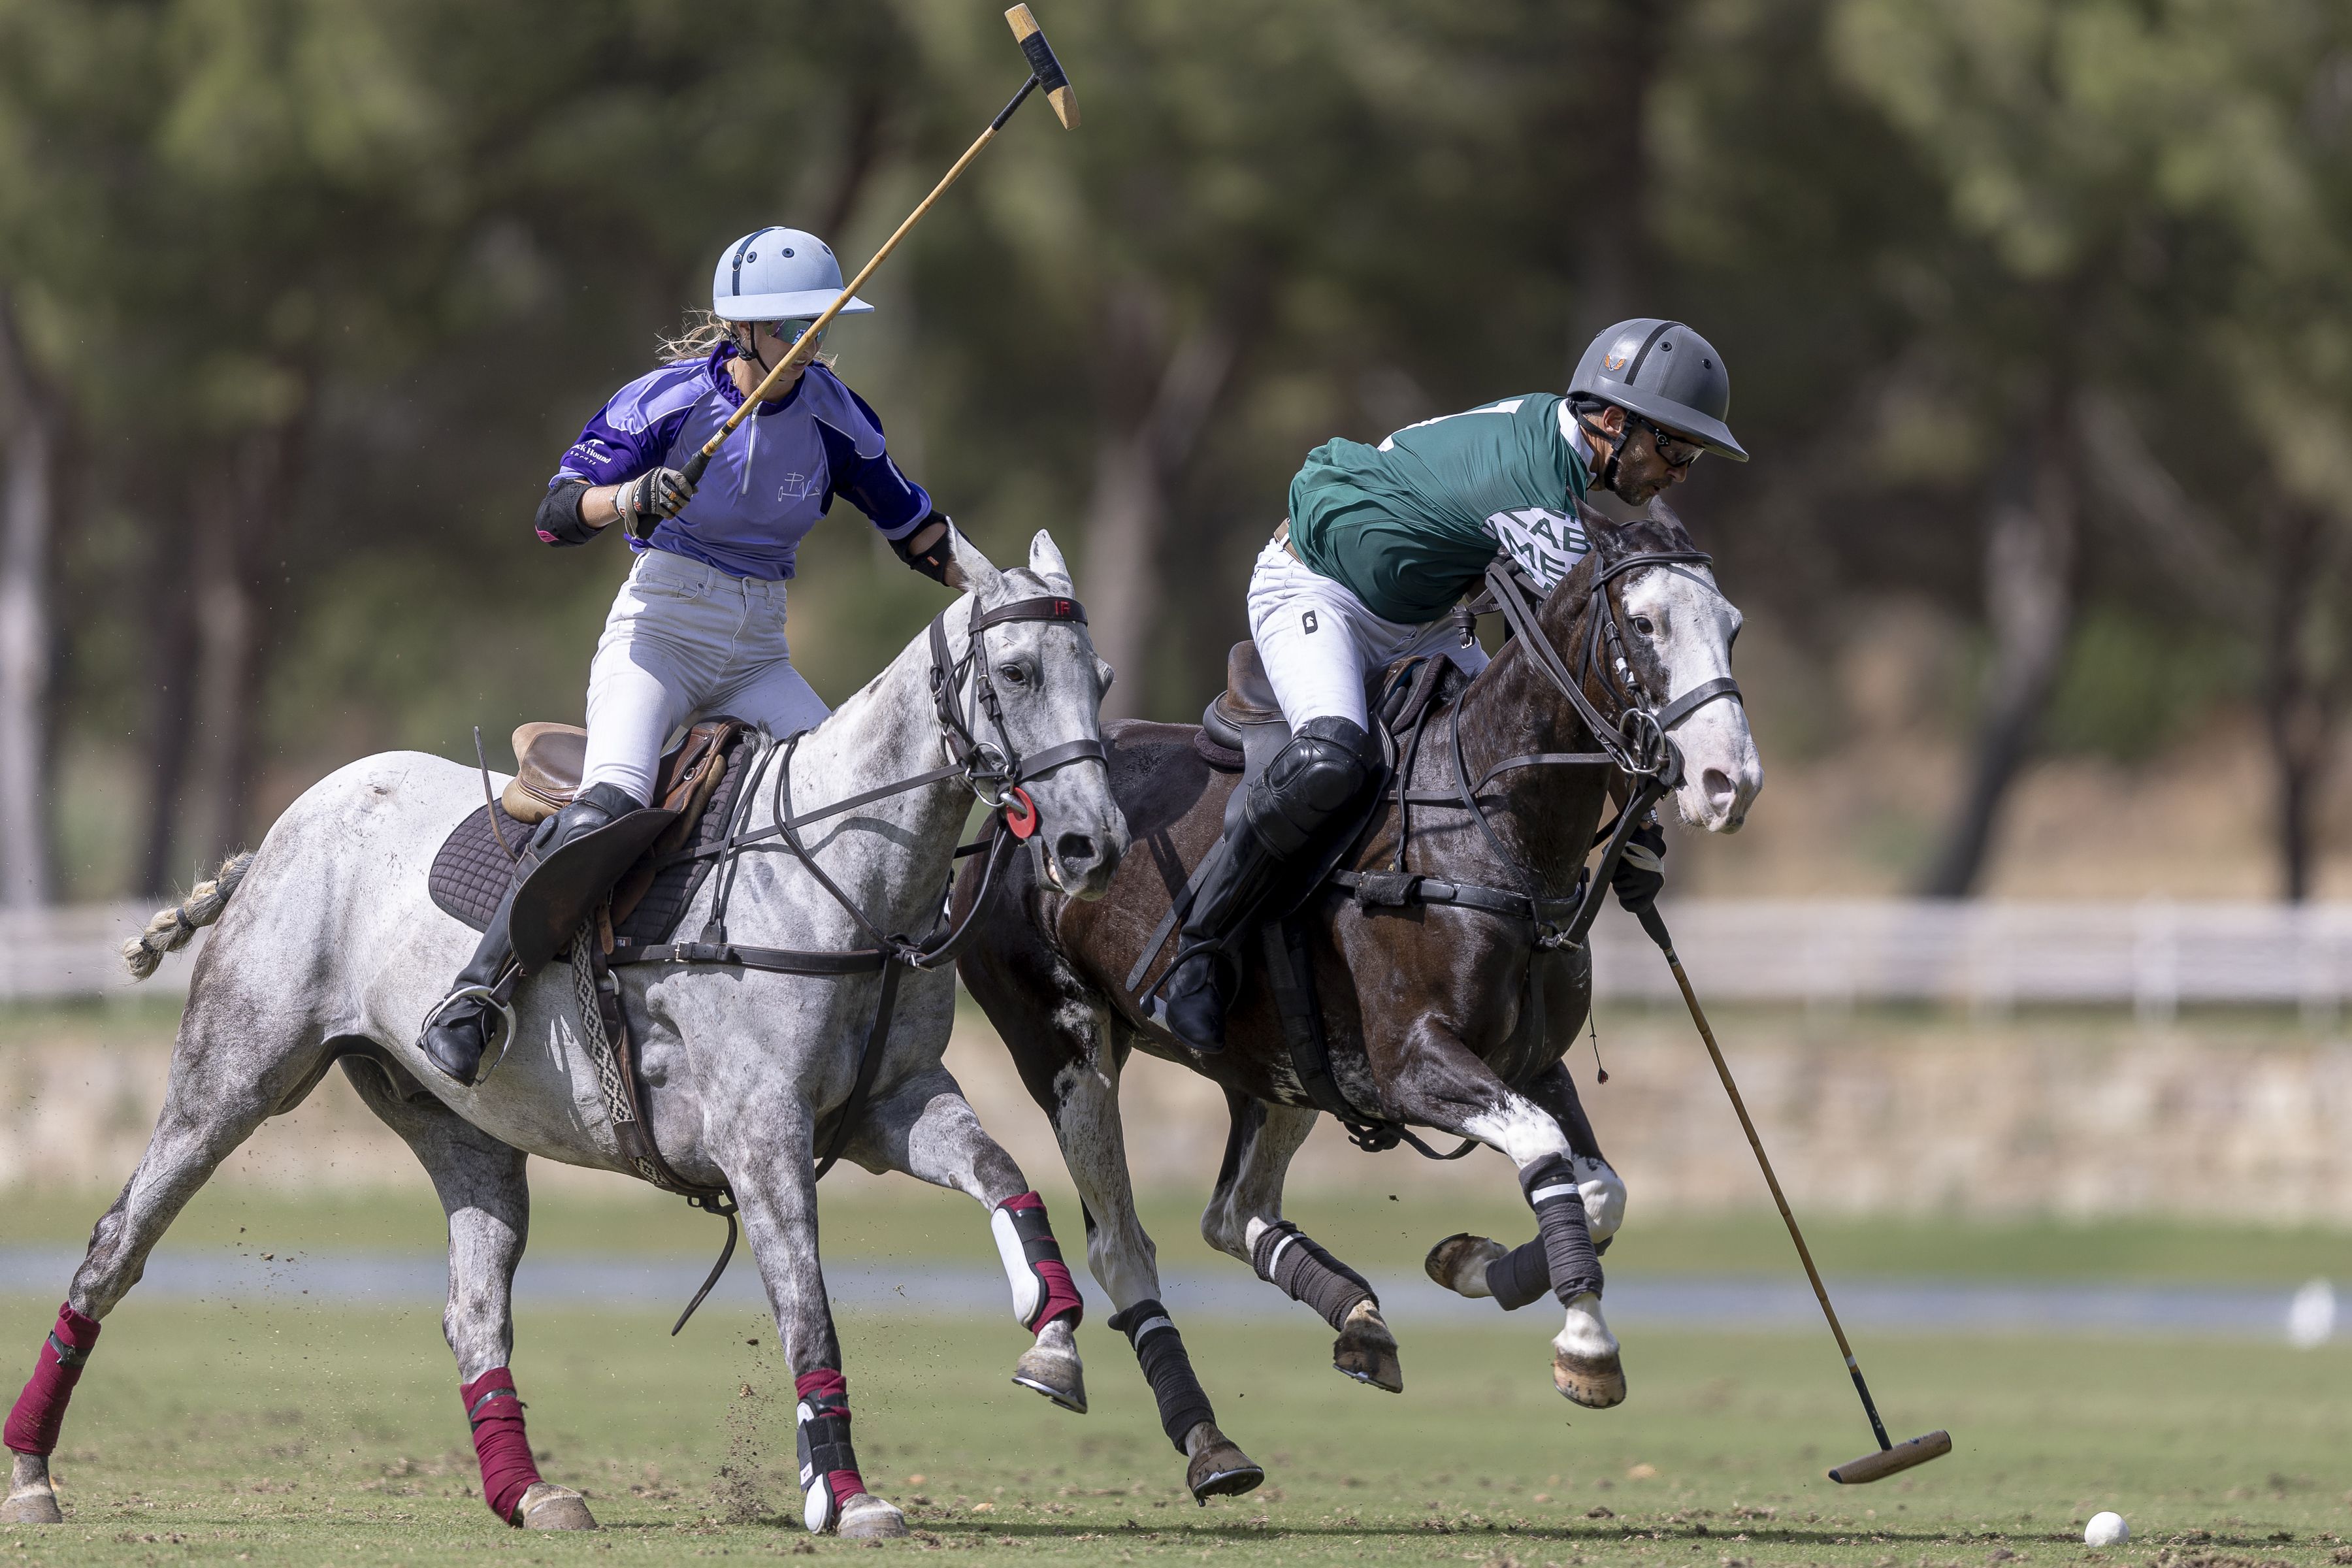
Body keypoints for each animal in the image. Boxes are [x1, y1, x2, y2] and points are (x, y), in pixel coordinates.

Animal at [2, 533, 1119, 1542]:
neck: (849, 882)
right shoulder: (762, 1133)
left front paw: (1056, 1342)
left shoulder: (897, 1101)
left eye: (1101, 678)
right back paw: (32, 1475)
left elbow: (1007, 1177)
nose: (1090, 846)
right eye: (1017, 672)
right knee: (115, 1246)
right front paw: (843, 1496)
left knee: (473, 1308)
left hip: (463, 1129)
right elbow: (807, 1306)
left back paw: (529, 1494)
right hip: (234, 1077)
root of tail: (285, 826)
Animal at [945, 512, 1759, 1495]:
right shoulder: (1413, 1064)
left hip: (1283, 1069)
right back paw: (1184, 1428)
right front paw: (1585, 1344)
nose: (1729, 782)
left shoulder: (1529, 1061)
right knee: (1121, 1244)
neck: (1489, 824)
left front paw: (1477, 1266)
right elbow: (1544, 1149)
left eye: (1734, 626)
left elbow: (1598, 1187)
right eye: (1643, 624)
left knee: (1235, 1212)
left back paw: (1361, 1323)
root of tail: (1008, 812)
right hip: (1065, 1047)